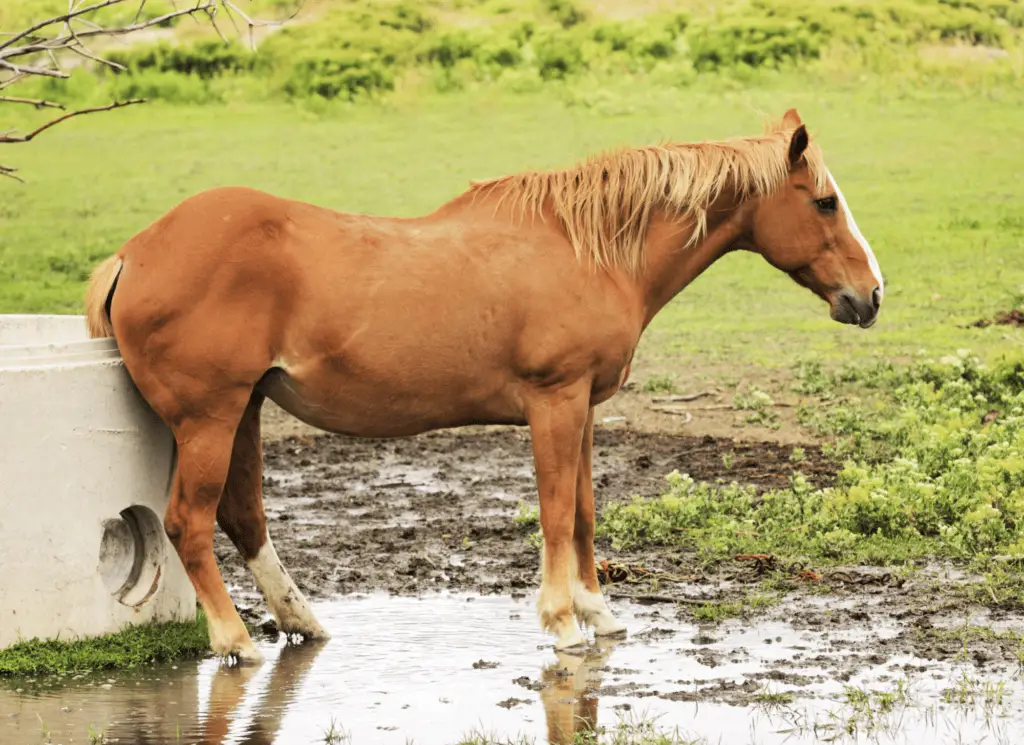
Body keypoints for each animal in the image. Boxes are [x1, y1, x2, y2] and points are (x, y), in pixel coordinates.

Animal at [83, 104, 884, 663]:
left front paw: (598, 613)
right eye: (824, 202)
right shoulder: (554, 402)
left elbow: (585, 512)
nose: (870, 295)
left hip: (244, 408)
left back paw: (301, 622)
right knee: (189, 521)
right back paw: (236, 641)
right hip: (211, 418)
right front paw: (562, 624)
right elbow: (556, 513)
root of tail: (134, 253)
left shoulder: (584, 408)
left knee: (242, 515)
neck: (589, 250)